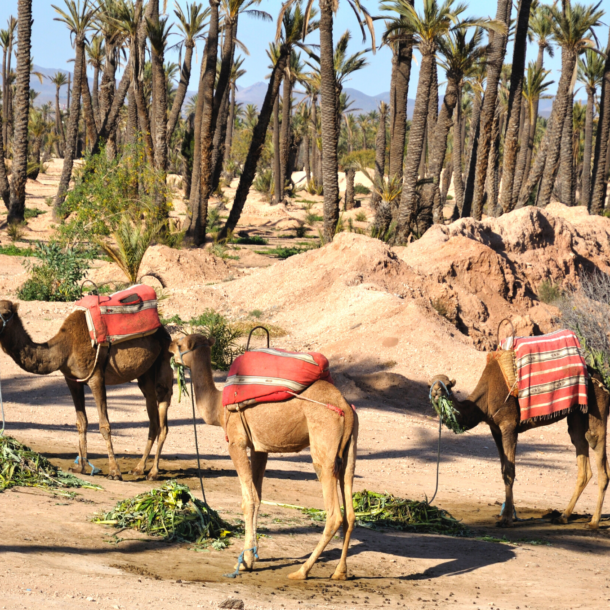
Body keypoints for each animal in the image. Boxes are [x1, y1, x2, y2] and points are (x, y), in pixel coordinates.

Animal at [0, 290, 173, 480]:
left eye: (6, 314)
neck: (65, 348)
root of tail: (163, 328)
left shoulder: (96, 377)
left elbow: (104, 425)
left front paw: (114, 471)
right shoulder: (72, 380)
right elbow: (81, 422)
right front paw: (80, 467)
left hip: (164, 355)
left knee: (163, 411)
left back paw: (153, 472)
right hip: (145, 373)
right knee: (152, 415)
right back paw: (139, 468)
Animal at [166, 332, 356, 580]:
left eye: (180, 344)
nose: (169, 346)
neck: (218, 408)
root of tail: (346, 408)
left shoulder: (236, 442)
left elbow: (249, 500)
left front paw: (245, 562)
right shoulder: (259, 448)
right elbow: (258, 497)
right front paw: (252, 556)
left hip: (323, 443)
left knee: (334, 513)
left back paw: (302, 571)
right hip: (349, 450)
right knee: (350, 508)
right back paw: (340, 571)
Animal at [428, 358, 608, 524]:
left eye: (447, 386)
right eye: (431, 383)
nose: (436, 391)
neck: (485, 398)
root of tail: (600, 378)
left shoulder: (509, 425)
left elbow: (510, 470)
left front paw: (507, 519)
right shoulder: (495, 429)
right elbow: (503, 470)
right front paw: (504, 514)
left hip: (596, 405)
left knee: (596, 444)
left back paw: (594, 522)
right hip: (577, 414)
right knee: (581, 451)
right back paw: (563, 517)